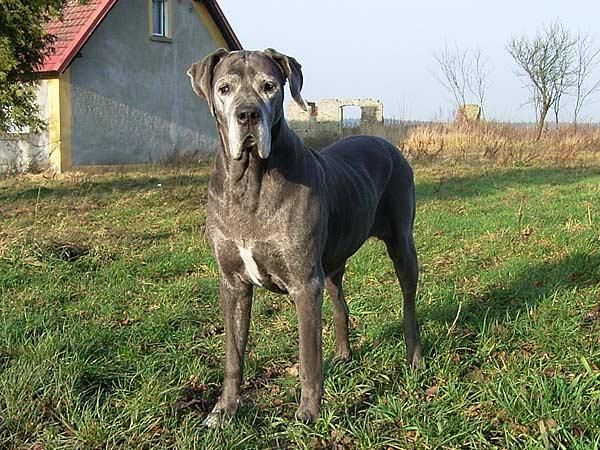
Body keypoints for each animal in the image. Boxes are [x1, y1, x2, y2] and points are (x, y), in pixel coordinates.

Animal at [187, 48, 421, 427]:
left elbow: (309, 356)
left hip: (401, 244)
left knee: (409, 305)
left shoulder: (304, 284)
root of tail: (385, 142)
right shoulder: (233, 282)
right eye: (224, 89)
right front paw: (224, 410)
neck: (250, 181)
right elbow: (233, 354)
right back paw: (343, 355)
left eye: (269, 87)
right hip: (332, 264)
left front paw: (308, 413)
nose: (247, 114)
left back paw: (415, 359)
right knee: (341, 306)